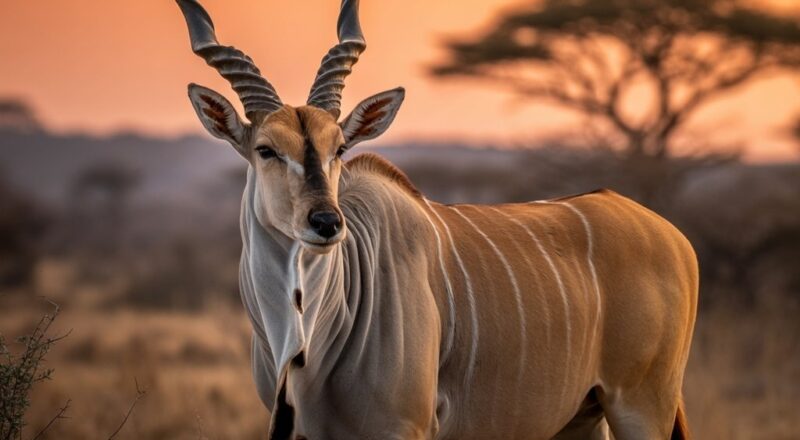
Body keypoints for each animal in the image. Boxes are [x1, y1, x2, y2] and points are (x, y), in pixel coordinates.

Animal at [175, 0, 698, 438]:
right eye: (266, 150)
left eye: (338, 148)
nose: (326, 223)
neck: (306, 344)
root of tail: (672, 237)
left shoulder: (403, 428)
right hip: (582, 417)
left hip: (640, 405)